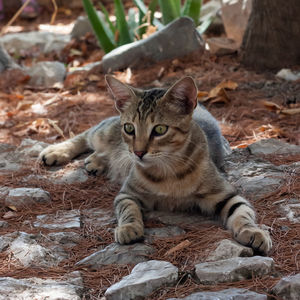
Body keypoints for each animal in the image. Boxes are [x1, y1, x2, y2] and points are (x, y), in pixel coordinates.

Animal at [39, 75, 272, 253]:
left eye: (160, 129)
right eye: (129, 128)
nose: (138, 152)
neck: (169, 171)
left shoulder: (226, 194)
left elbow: (242, 212)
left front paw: (253, 231)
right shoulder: (128, 193)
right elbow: (128, 209)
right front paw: (129, 228)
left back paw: (96, 160)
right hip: (103, 133)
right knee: (86, 134)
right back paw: (56, 152)